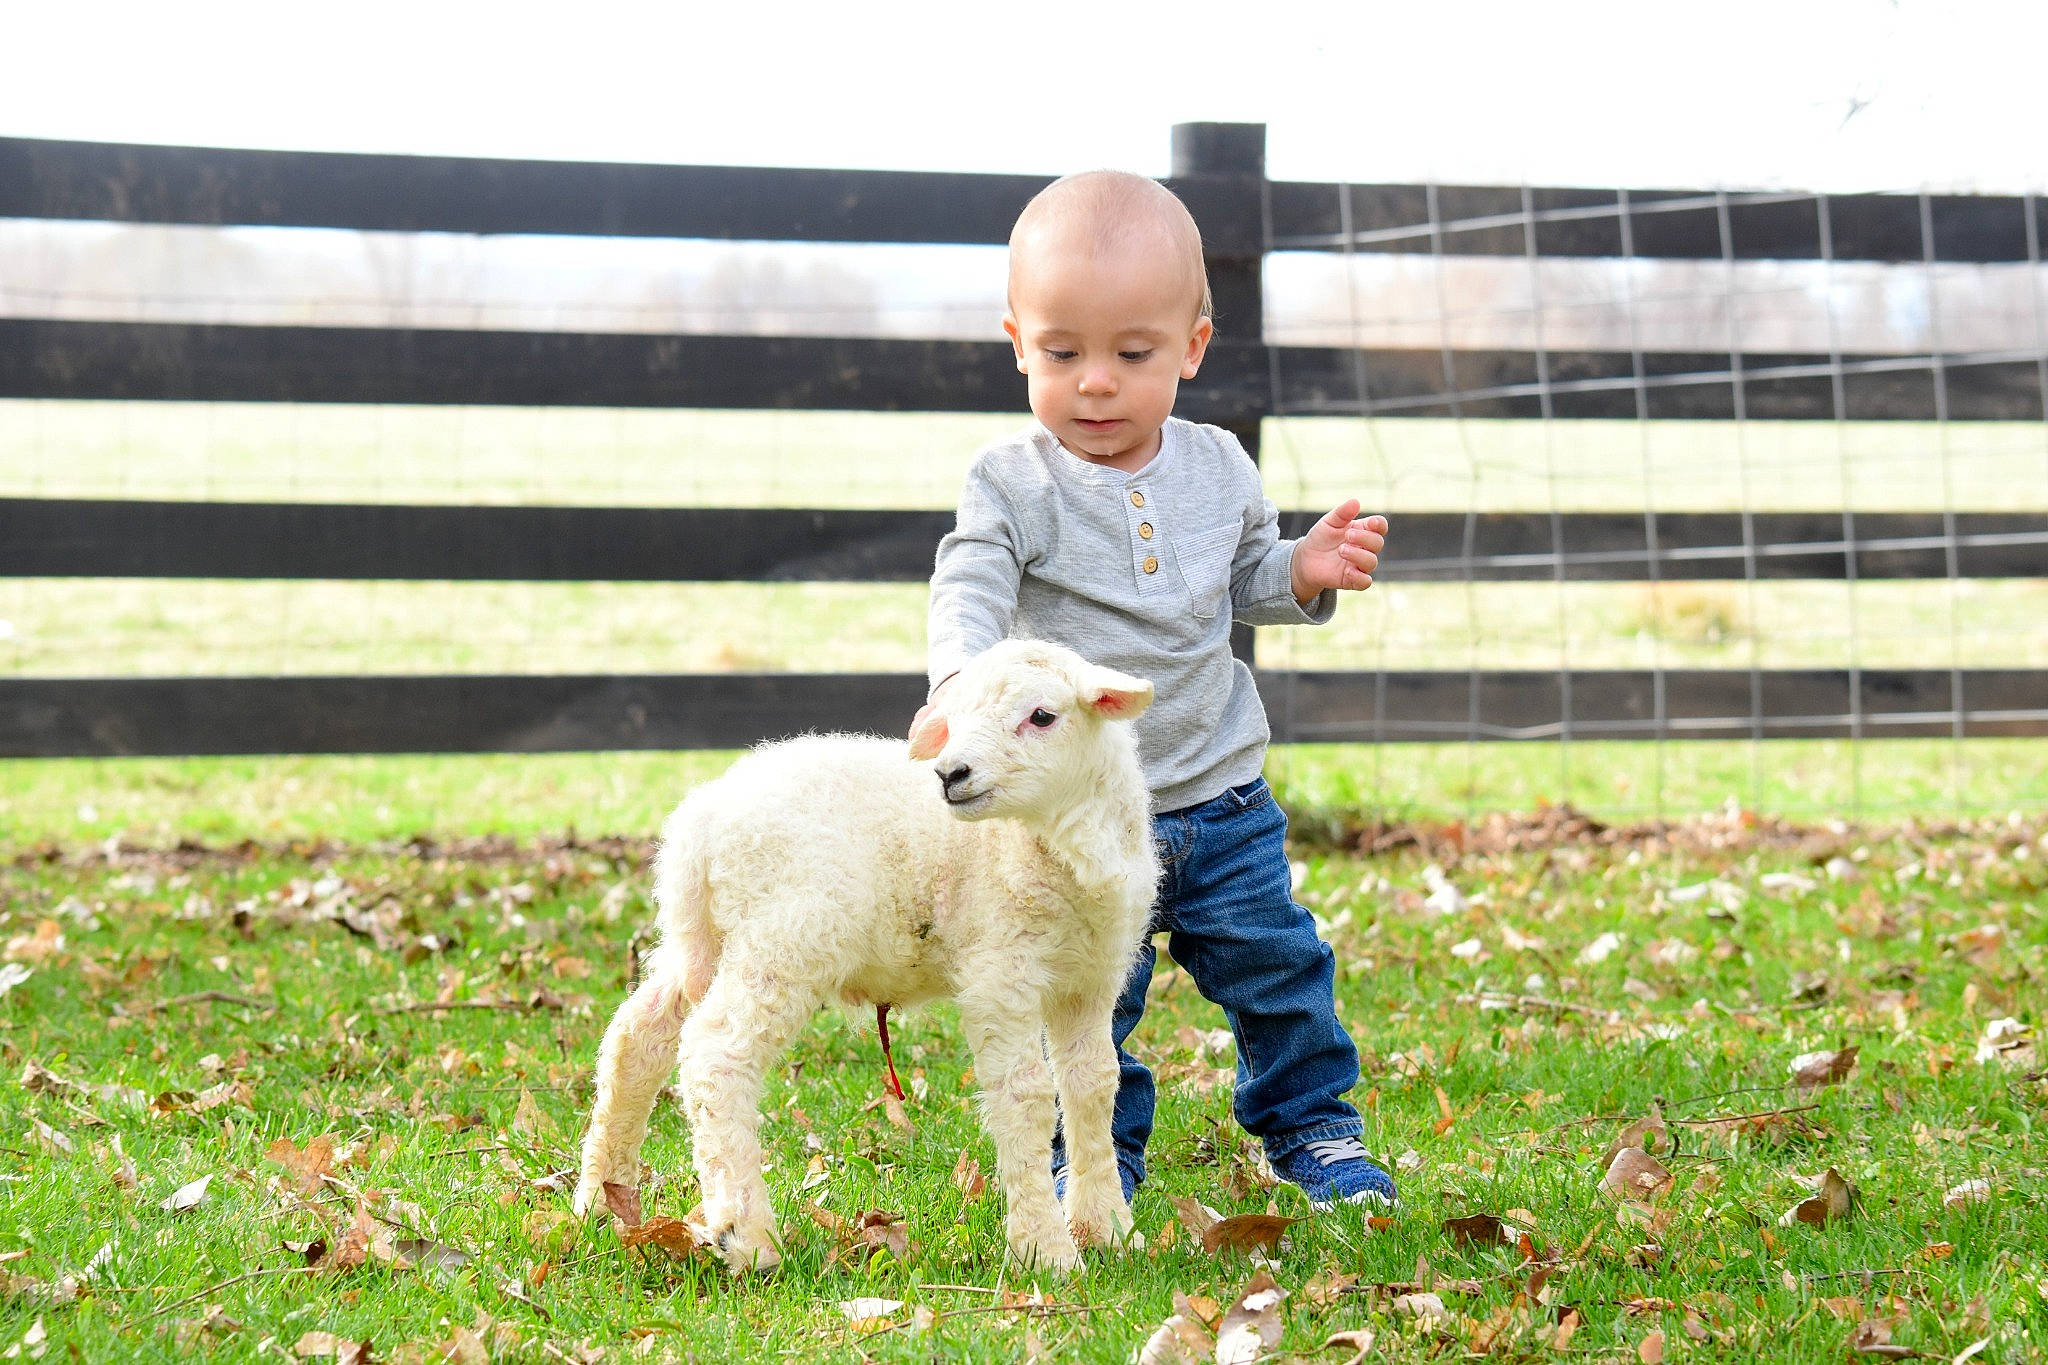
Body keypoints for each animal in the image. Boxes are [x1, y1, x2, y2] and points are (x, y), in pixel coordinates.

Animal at [572, 639, 1159, 1274]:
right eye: (955, 717)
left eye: (1043, 716)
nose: (950, 773)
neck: (1051, 845)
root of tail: (702, 819)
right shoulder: (1001, 974)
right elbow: (1025, 1096)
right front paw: (1045, 1252)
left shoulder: (1091, 977)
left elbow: (1093, 1086)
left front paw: (1109, 1230)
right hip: (785, 937)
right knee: (715, 1051)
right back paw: (747, 1237)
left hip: (703, 936)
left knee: (639, 1034)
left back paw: (605, 1202)